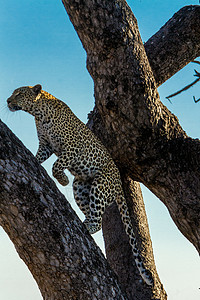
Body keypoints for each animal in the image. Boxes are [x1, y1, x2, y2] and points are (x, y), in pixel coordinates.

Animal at [6, 84, 153, 286]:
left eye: (19, 93)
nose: (7, 101)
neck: (38, 114)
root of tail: (118, 184)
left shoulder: (72, 149)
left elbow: (56, 165)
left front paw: (62, 180)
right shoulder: (46, 145)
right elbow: (41, 157)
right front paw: (34, 161)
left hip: (100, 186)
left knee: (97, 221)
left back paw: (87, 227)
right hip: (81, 187)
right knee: (91, 213)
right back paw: (84, 222)